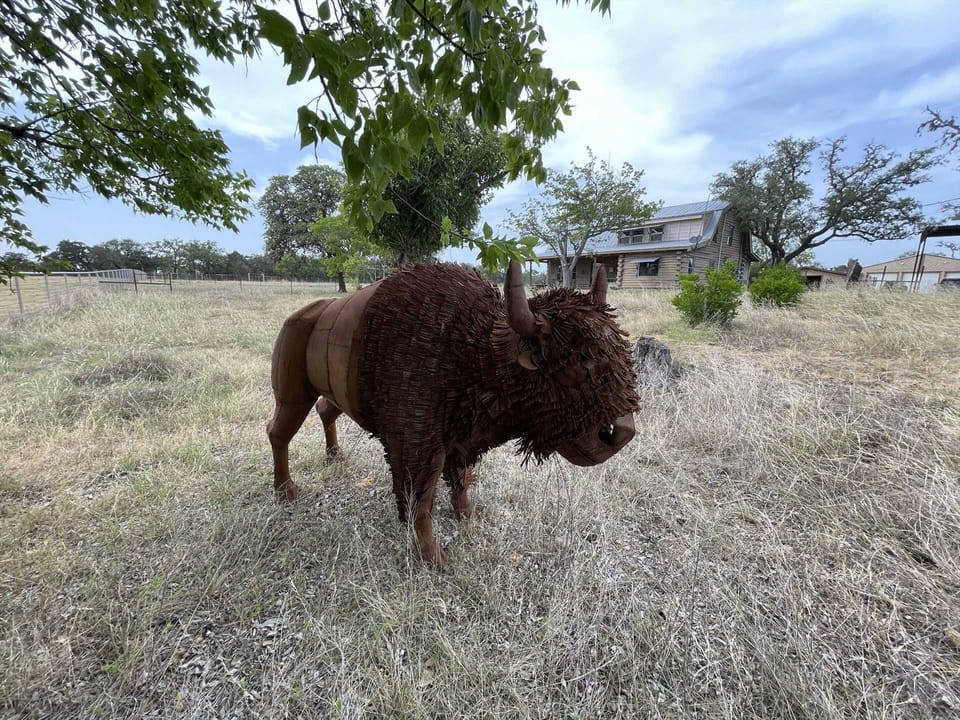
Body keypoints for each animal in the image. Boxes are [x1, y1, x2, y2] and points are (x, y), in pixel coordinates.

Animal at [267, 261, 638, 567]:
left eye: (624, 355)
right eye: (577, 366)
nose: (621, 433)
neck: (477, 352)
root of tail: (299, 317)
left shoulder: (461, 439)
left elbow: (459, 480)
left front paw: (468, 516)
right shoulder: (417, 445)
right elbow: (420, 500)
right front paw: (433, 557)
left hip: (329, 392)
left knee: (325, 410)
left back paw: (334, 455)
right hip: (292, 393)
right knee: (278, 431)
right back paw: (286, 492)